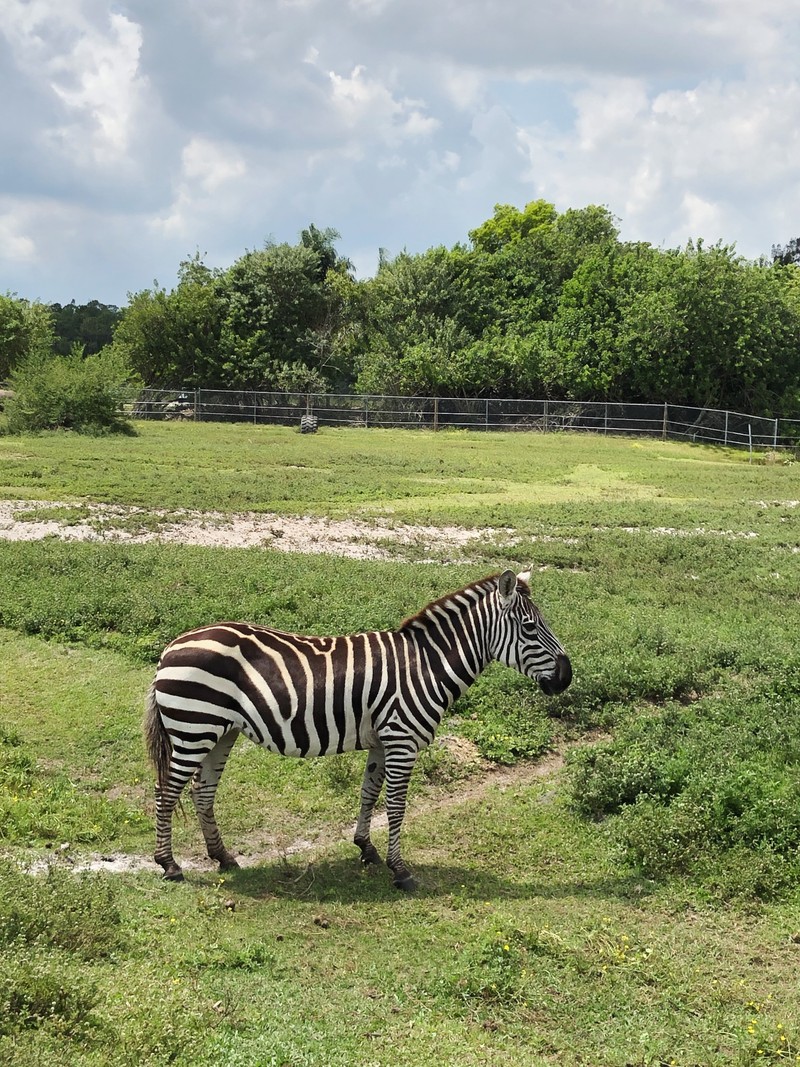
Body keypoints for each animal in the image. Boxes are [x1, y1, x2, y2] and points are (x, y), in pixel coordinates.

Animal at [142, 571, 571, 887]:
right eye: (530, 628)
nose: (567, 677)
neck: (426, 664)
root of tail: (171, 647)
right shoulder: (402, 739)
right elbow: (396, 806)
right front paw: (401, 871)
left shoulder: (382, 740)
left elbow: (368, 794)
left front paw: (366, 849)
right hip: (194, 726)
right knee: (166, 792)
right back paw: (169, 865)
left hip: (220, 731)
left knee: (202, 792)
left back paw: (224, 857)